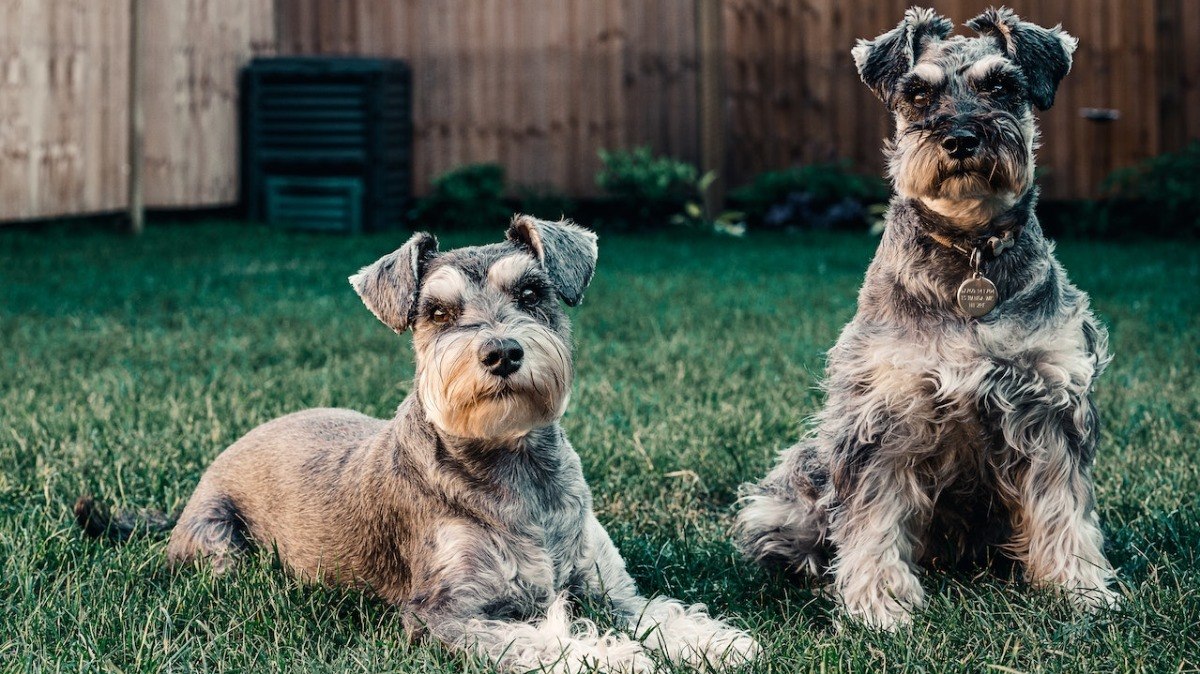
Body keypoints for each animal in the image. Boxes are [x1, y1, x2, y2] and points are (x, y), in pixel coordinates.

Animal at [79, 215, 758, 671]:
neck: (517, 468)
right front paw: (613, 658)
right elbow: (537, 639)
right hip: (222, 551)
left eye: (532, 292)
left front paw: (717, 641)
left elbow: (659, 612)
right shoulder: (446, 614)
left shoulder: (609, 589)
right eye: (436, 312)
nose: (501, 352)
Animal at [734, 7, 1118, 628]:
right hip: (795, 486)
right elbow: (872, 518)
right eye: (917, 93)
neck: (969, 250)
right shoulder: (884, 413)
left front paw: (1080, 589)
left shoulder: (1050, 404)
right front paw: (879, 603)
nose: (960, 138)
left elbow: (1064, 508)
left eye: (1001, 86)